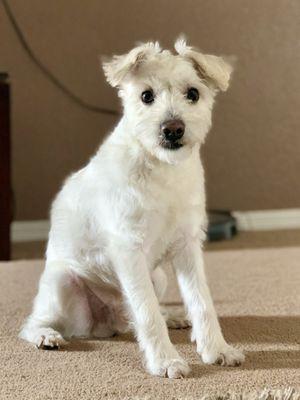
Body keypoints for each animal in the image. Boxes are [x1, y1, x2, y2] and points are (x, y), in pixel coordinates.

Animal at [20, 37, 244, 378]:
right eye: (146, 95)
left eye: (193, 93)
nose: (173, 129)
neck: (162, 169)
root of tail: (111, 321)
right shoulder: (129, 248)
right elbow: (146, 311)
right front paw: (165, 361)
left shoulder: (188, 245)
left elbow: (201, 302)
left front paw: (218, 350)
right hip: (61, 283)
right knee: (33, 322)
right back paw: (46, 336)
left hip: (159, 277)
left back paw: (172, 317)